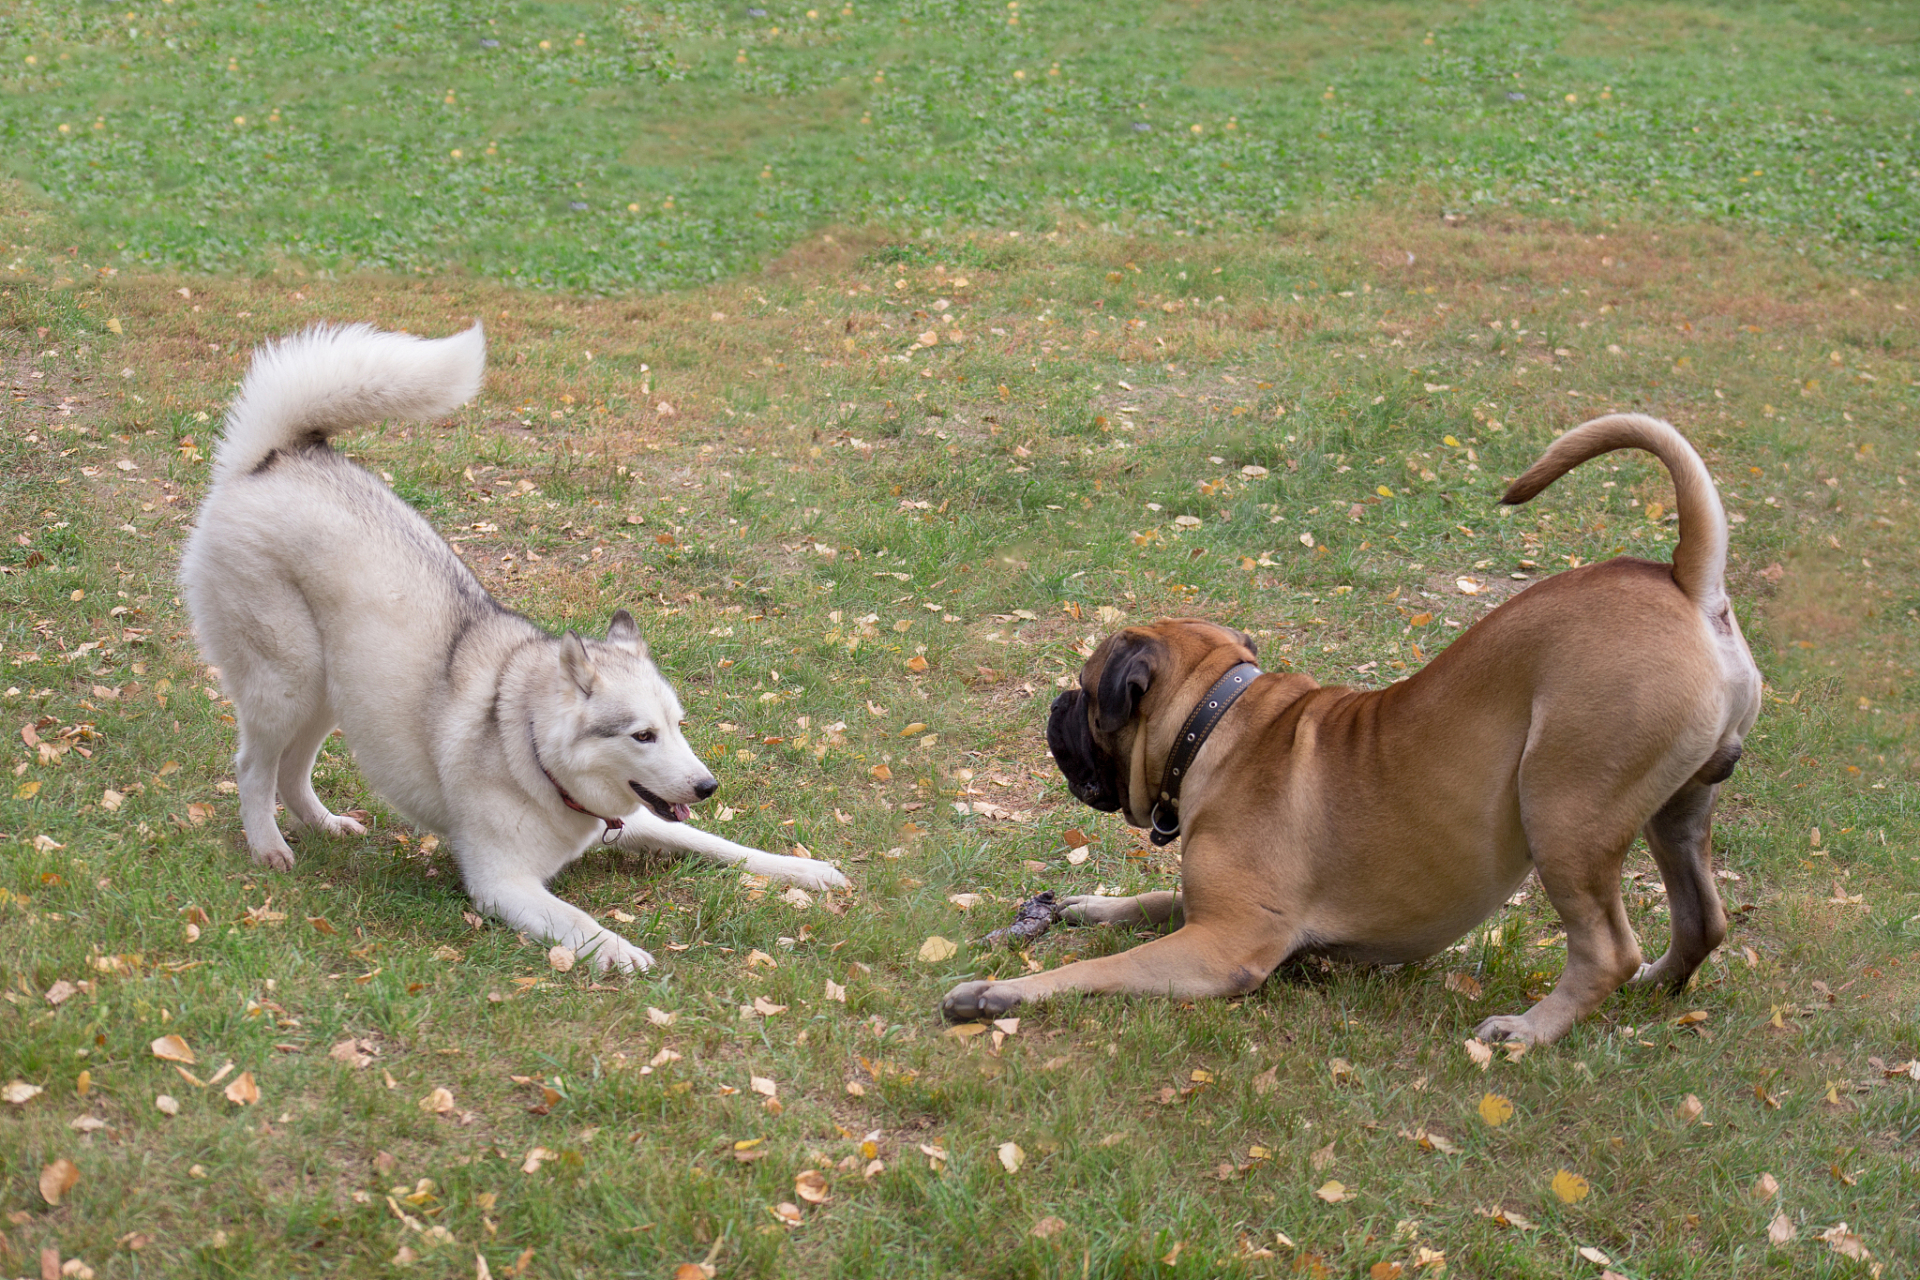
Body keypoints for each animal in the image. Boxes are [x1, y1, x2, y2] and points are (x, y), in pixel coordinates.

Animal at [183, 322, 852, 971]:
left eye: (678, 726)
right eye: (642, 735)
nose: (708, 786)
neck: (529, 748)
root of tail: (275, 457)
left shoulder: (642, 820)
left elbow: (722, 844)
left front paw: (803, 869)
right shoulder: (502, 883)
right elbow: (580, 923)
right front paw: (620, 951)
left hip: (334, 690)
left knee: (292, 770)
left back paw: (325, 825)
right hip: (287, 685)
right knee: (255, 769)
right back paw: (268, 846)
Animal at [936, 416, 1758, 1043]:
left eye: (1083, 691)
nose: (1054, 706)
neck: (1216, 725)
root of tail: (1686, 583)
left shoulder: (1223, 945)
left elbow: (1103, 969)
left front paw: (998, 993)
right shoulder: (1208, 912)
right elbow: (1145, 902)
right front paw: (1087, 905)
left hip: (1566, 815)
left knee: (1605, 949)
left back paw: (1528, 1030)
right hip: (1677, 810)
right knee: (1701, 921)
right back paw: (1654, 983)